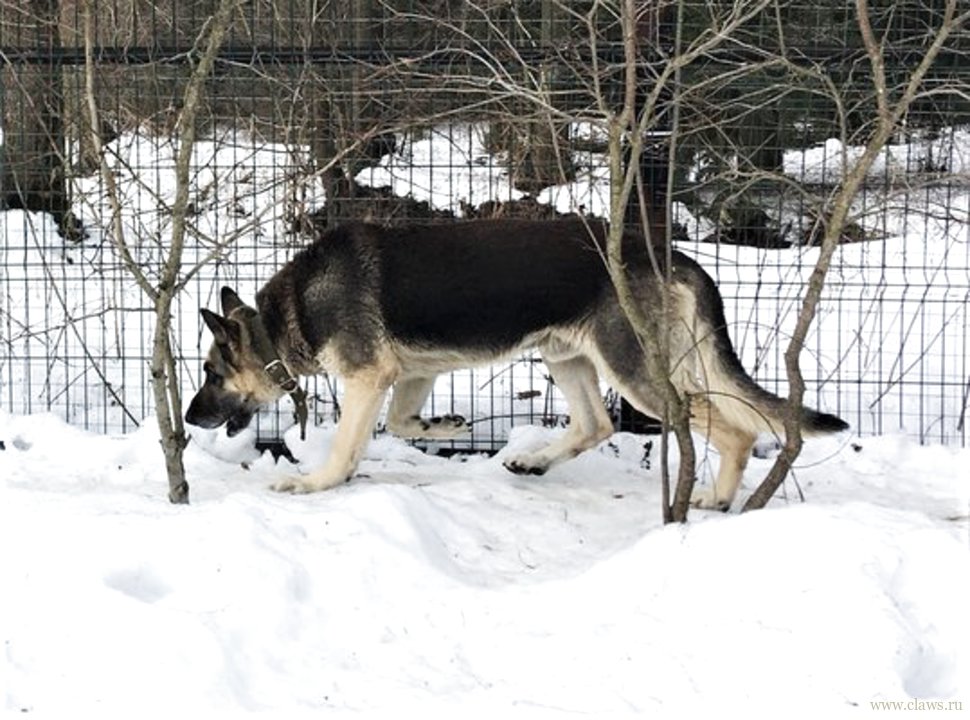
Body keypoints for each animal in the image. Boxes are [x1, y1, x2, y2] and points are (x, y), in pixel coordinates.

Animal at [185, 217, 844, 510]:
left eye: (212, 375)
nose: (189, 419)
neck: (281, 319)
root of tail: (671, 253)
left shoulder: (368, 378)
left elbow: (349, 443)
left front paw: (317, 483)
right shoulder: (410, 373)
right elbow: (400, 422)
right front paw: (445, 427)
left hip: (635, 372)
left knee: (734, 431)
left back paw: (715, 499)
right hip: (568, 356)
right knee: (596, 424)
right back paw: (534, 461)